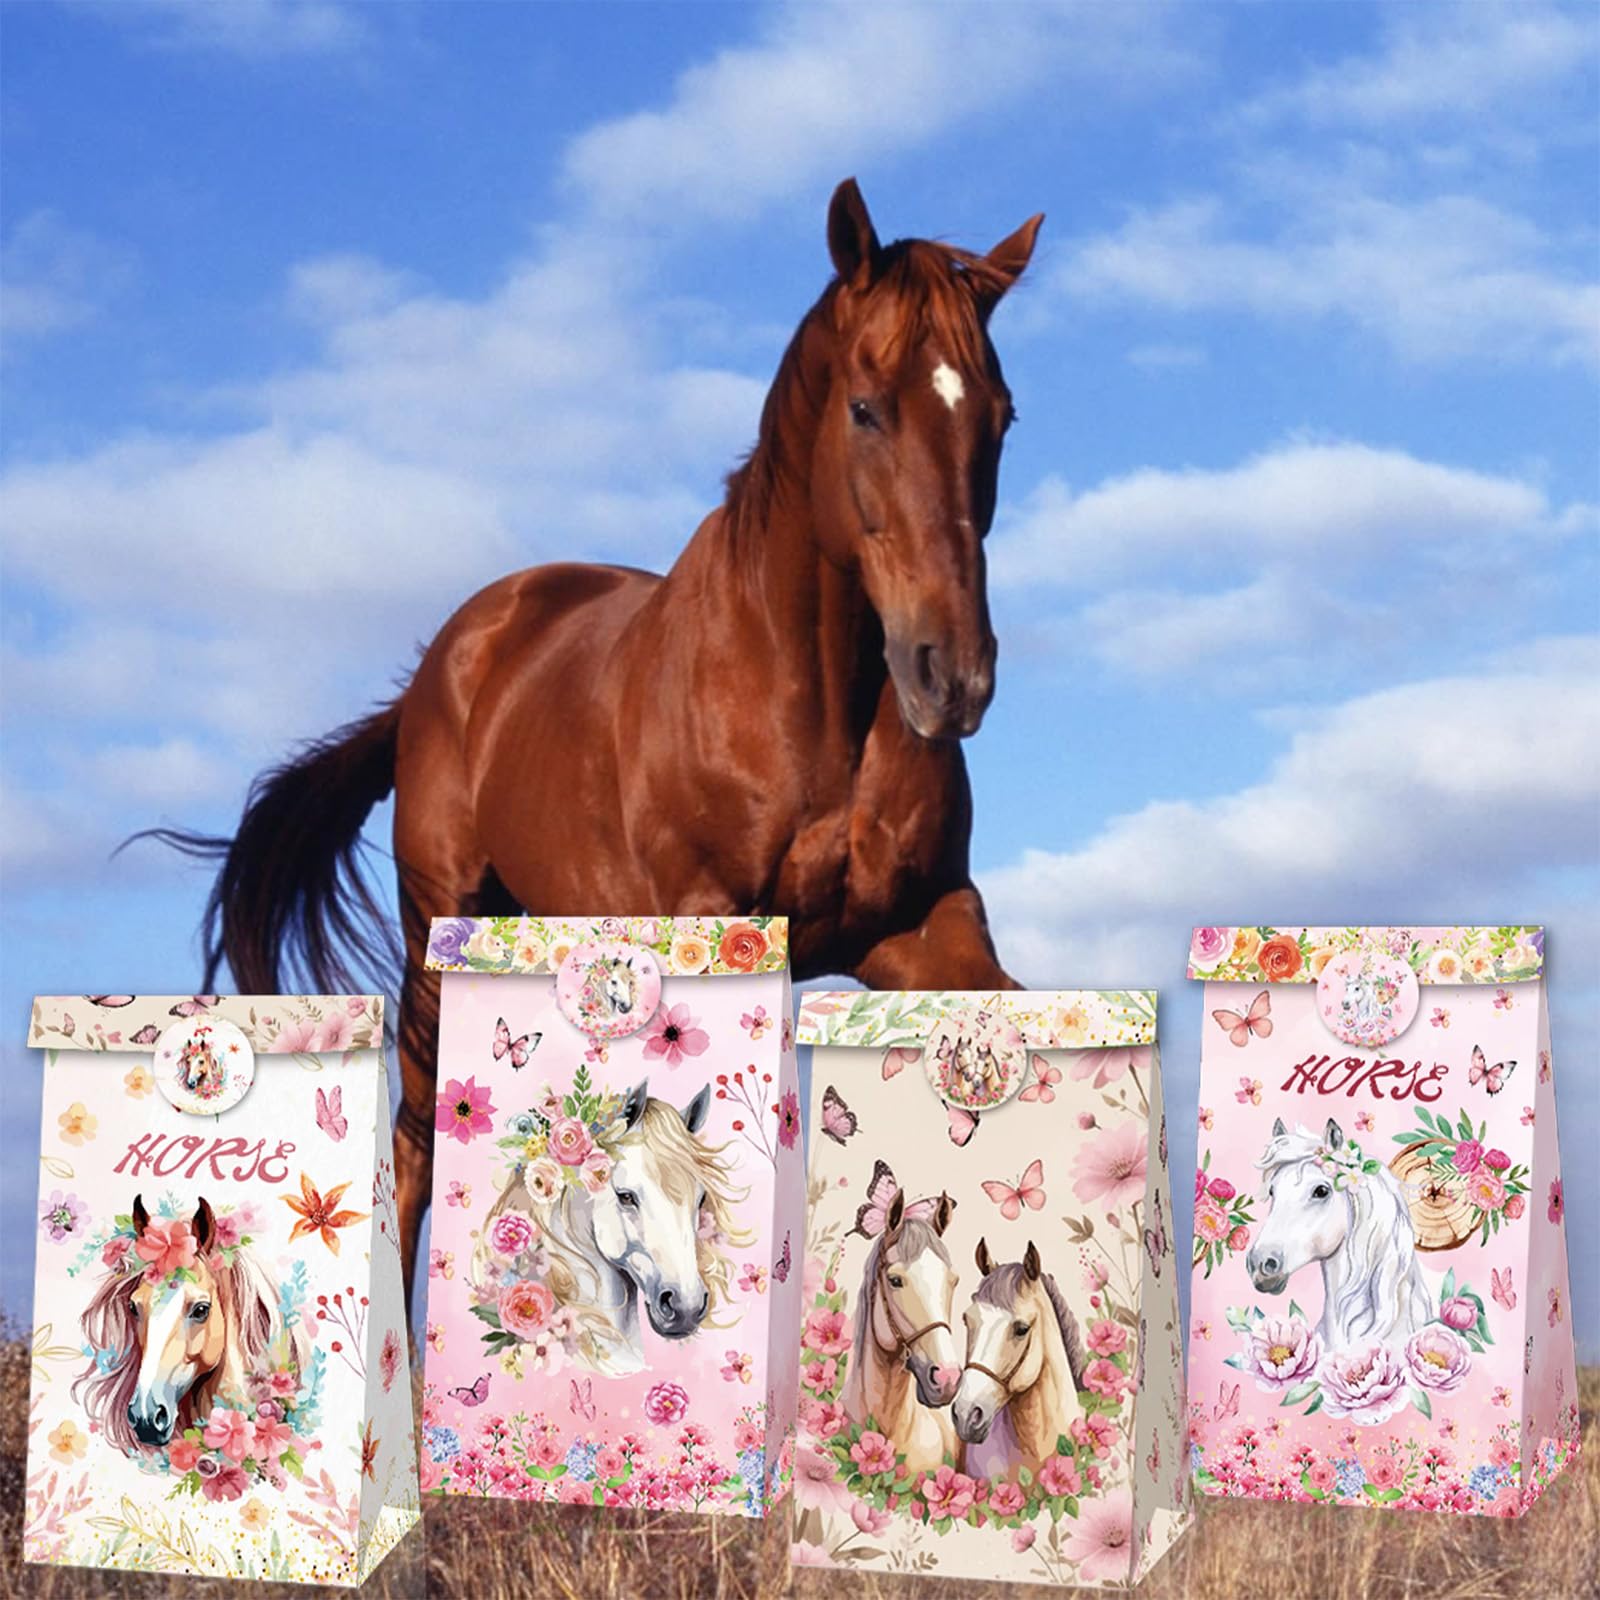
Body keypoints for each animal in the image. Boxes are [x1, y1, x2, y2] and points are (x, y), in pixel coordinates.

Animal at [150, 178, 1040, 1292]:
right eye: (866, 407)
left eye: (1000, 418)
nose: (952, 674)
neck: (811, 702)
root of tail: (445, 665)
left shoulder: (922, 929)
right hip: (442, 944)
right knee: (418, 1143)